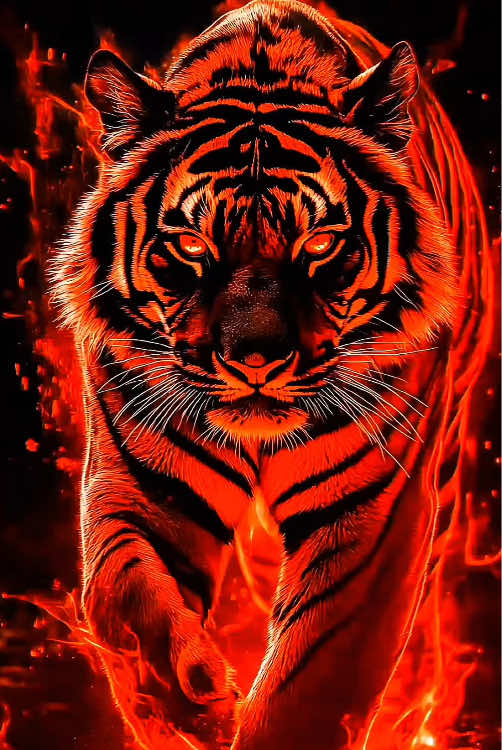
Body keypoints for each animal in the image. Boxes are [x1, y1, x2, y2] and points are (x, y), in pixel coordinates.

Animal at [51, 0, 492, 748]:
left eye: (320, 243)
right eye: (190, 244)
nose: (254, 358)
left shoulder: (373, 522)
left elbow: (310, 691)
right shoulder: (138, 487)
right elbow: (118, 594)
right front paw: (191, 701)